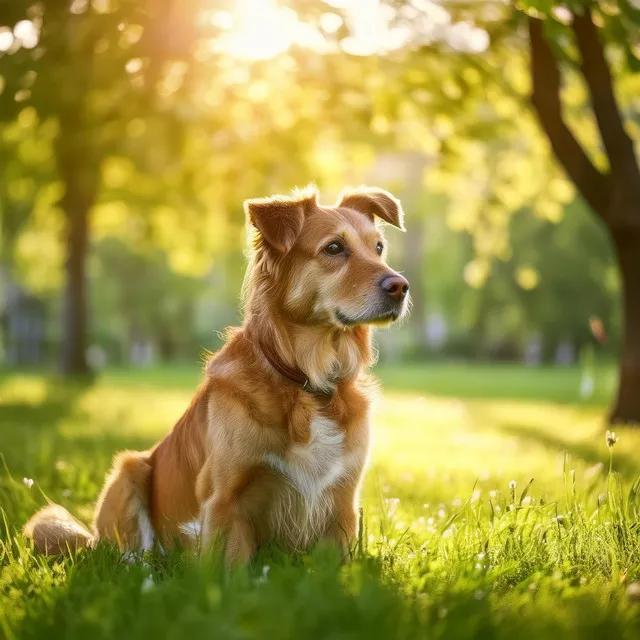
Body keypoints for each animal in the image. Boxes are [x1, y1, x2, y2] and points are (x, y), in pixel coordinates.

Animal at [25, 185, 410, 564]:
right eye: (334, 247)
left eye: (379, 248)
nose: (401, 286)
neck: (307, 382)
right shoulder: (225, 499)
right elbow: (232, 570)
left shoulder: (342, 502)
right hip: (129, 470)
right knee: (133, 554)